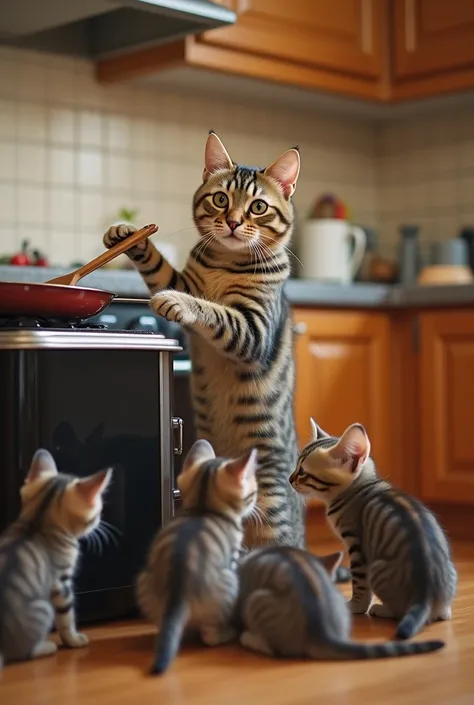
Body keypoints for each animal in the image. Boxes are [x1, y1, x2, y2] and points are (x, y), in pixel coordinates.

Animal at [0, 448, 112, 668]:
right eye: (97, 514)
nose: (99, 522)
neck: (37, 522)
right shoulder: (62, 583)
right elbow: (67, 617)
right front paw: (74, 640)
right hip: (44, 609)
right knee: (22, 652)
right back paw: (45, 647)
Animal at [102, 131, 306, 556]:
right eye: (221, 199)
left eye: (258, 207)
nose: (232, 222)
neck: (225, 263)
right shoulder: (185, 279)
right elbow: (160, 270)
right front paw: (128, 236)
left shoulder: (253, 329)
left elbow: (215, 311)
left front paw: (178, 304)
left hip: (271, 508)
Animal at [135, 438, 258, 672]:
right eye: (253, 493)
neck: (203, 507)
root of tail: (177, 595)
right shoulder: (233, 556)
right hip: (230, 582)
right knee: (209, 636)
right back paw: (226, 634)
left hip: (144, 580)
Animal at [290, 418, 458, 640]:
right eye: (296, 467)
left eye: (303, 472)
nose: (290, 479)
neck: (364, 485)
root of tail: (426, 595)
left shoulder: (356, 545)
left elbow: (359, 584)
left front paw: (355, 606)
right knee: (442, 615)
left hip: (377, 568)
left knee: (400, 610)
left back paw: (381, 609)